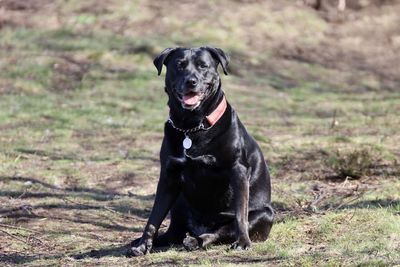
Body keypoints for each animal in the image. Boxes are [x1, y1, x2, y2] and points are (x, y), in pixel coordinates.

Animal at [130, 47, 274, 256]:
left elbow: (240, 214)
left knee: (221, 231)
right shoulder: (169, 174)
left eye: (203, 66)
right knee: (174, 233)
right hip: (179, 203)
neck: (192, 126)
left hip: (265, 213)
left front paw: (243, 242)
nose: (191, 81)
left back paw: (196, 241)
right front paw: (142, 244)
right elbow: (154, 217)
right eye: (180, 65)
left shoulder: (238, 170)